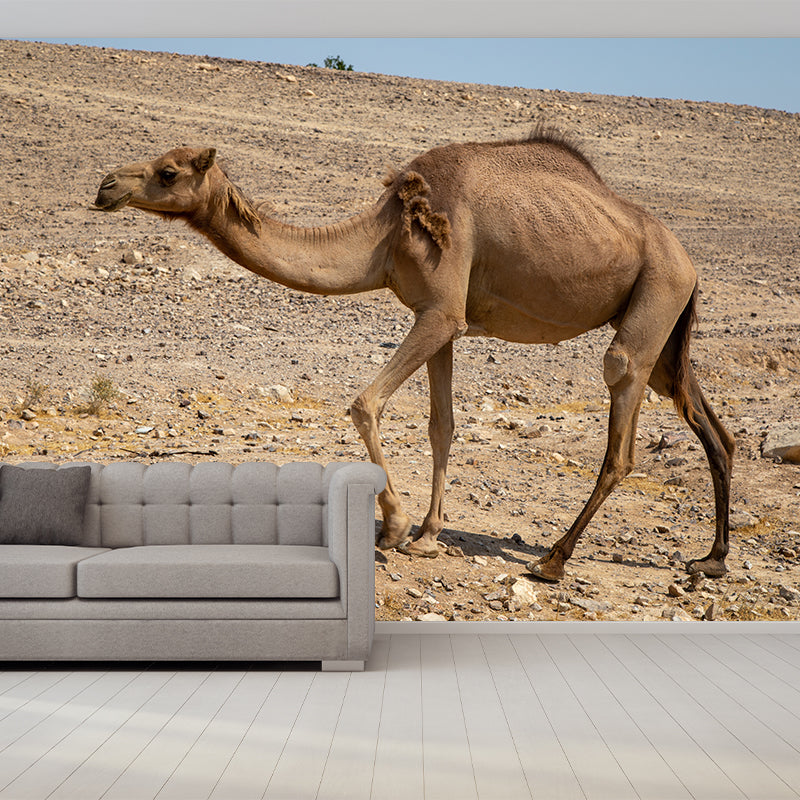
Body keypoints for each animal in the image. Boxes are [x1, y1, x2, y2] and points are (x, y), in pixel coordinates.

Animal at [93, 130, 734, 582]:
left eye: (167, 171)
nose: (105, 185)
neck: (385, 237)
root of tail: (690, 263)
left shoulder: (442, 312)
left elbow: (364, 403)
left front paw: (395, 527)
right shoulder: (440, 318)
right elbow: (441, 425)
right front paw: (428, 533)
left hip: (654, 298)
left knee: (621, 420)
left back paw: (553, 560)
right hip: (665, 328)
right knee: (709, 424)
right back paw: (711, 559)